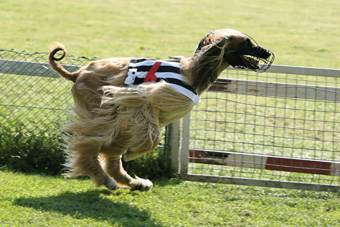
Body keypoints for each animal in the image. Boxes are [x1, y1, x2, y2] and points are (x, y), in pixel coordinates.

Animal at [49, 28, 274, 192]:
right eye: (247, 42)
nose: (268, 52)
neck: (193, 72)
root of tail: (78, 73)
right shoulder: (143, 100)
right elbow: (152, 135)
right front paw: (135, 152)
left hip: (117, 122)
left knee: (110, 157)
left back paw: (135, 183)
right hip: (103, 111)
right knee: (86, 144)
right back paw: (107, 179)